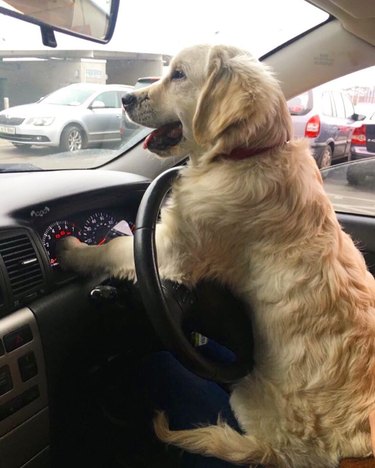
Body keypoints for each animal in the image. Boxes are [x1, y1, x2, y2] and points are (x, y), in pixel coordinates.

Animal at [58, 44, 375, 468]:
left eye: (177, 75)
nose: (125, 99)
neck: (245, 154)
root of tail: (276, 452)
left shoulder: (170, 250)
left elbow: (115, 247)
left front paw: (71, 249)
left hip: (245, 389)